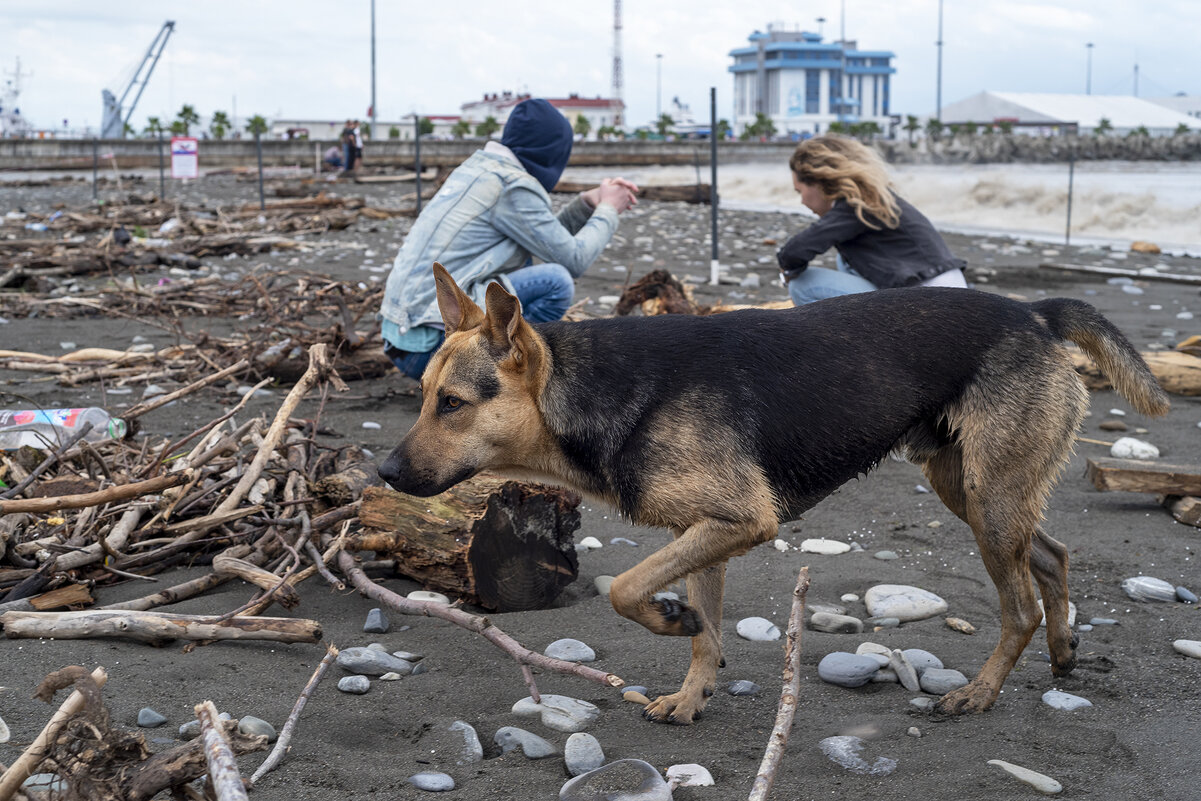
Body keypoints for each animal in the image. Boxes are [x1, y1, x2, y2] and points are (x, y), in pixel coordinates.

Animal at [379, 264, 1167, 725]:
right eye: (422, 399)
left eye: (452, 404)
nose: (383, 473)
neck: (589, 392)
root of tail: (1034, 312)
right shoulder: (703, 531)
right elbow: (702, 624)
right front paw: (692, 689)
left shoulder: (740, 520)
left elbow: (626, 588)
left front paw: (668, 621)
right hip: (968, 488)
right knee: (1053, 555)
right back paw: (1063, 651)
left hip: (989, 497)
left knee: (1019, 606)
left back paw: (981, 690)